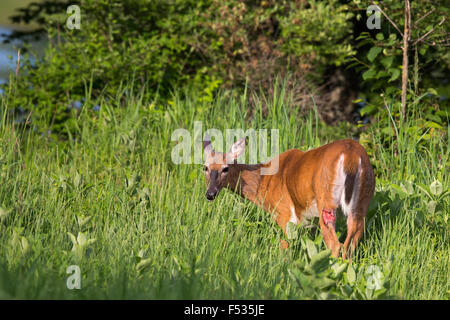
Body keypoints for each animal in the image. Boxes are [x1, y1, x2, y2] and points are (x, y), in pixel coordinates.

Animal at [202, 136, 374, 258]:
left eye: (226, 168)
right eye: (205, 167)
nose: (210, 194)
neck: (265, 182)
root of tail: (351, 157)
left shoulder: (284, 213)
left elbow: (284, 247)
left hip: (326, 201)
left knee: (336, 245)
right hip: (361, 203)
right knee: (350, 243)